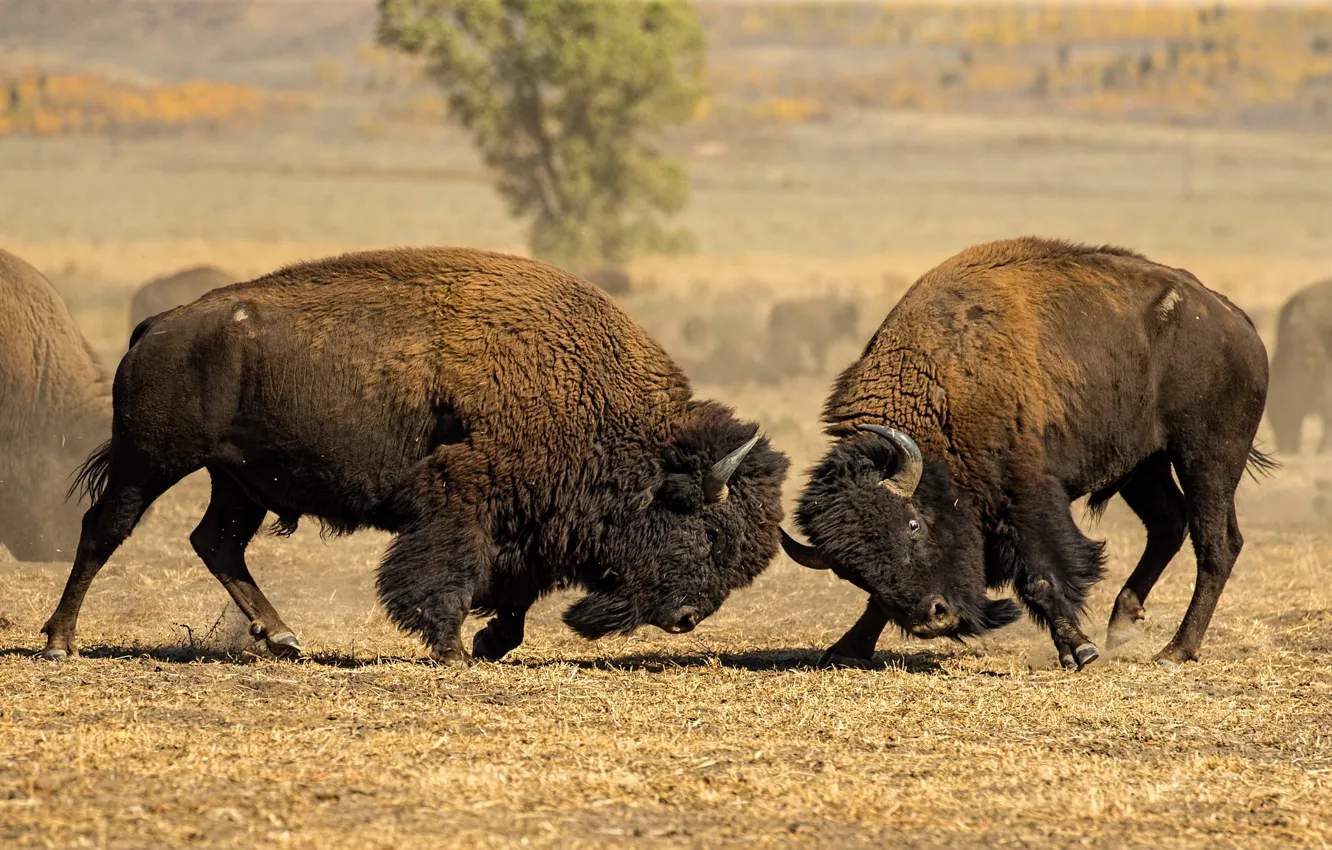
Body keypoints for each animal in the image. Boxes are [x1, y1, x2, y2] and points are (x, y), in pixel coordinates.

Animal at [41, 247, 788, 664]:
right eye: (705, 531)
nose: (687, 618)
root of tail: (155, 326)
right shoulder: (462, 502)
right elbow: (447, 574)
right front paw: (453, 650)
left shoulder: (525, 525)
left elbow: (515, 592)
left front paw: (488, 644)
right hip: (151, 463)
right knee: (103, 530)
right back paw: (61, 642)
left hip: (237, 481)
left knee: (217, 543)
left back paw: (283, 638)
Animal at [780, 237, 1273, 669]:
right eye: (851, 571)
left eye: (913, 525)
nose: (934, 619)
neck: (939, 389)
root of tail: (1236, 322)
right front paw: (846, 649)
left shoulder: (1027, 495)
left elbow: (1041, 576)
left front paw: (1080, 651)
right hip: (1144, 466)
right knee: (1168, 525)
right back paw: (1122, 624)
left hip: (1206, 458)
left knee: (1216, 544)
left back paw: (1174, 651)